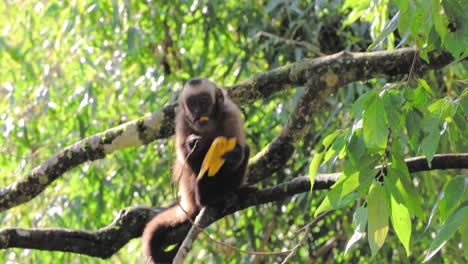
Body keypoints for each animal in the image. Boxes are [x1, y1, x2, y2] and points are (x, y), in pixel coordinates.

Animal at [143, 77, 250, 262]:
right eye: (192, 104)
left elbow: (240, 149)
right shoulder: (182, 122)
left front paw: (234, 155)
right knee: (195, 171)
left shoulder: (231, 113)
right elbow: (186, 159)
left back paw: (232, 192)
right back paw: (208, 199)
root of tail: (189, 202)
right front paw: (191, 144)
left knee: (246, 149)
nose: (198, 111)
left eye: (204, 101)